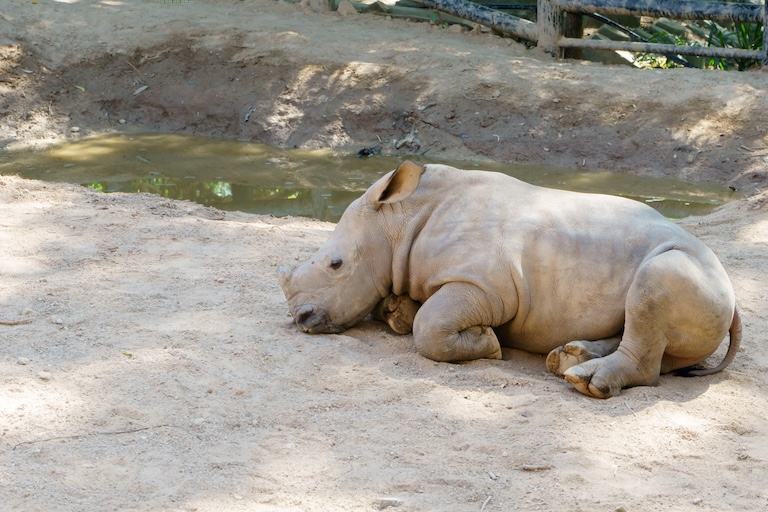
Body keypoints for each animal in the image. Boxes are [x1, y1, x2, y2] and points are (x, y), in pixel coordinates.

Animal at [278, 161, 741, 398]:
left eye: (336, 265)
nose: (300, 320)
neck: (398, 220)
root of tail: (735, 300)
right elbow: (412, 312)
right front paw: (397, 312)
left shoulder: (486, 287)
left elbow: (431, 327)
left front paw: (487, 342)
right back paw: (568, 360)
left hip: (687, 268)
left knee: (655, 286)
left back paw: (585, 383)